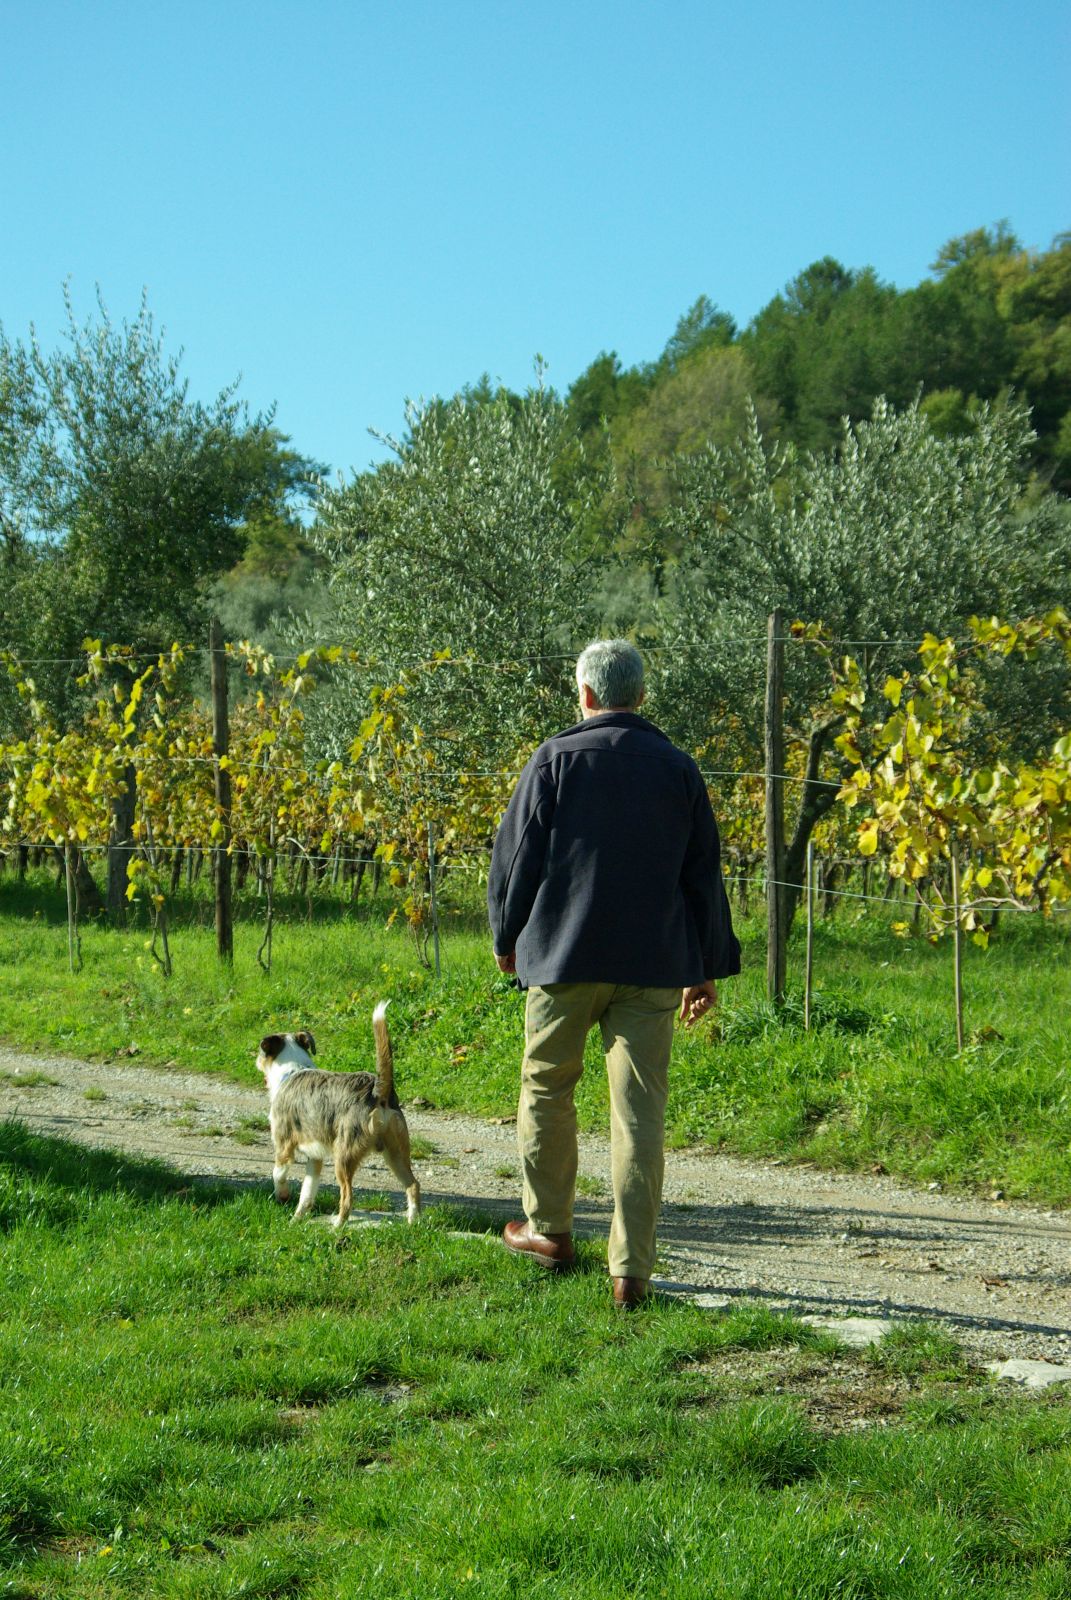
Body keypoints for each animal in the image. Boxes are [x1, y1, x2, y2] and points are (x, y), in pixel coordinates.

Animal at [256, 1004, 419, 1228]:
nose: (255, 1059)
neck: (293, 1070)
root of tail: (378, 1092)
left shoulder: (283, 1147)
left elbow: (277, 1174)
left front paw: (282, 1196)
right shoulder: (314, 1158)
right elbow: (307, 1192)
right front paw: (297, 1218)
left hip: (343, 1156)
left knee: (348, 1197)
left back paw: (337, 1226)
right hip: (396, 1154)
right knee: (413, 1185)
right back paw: (413, 1221)